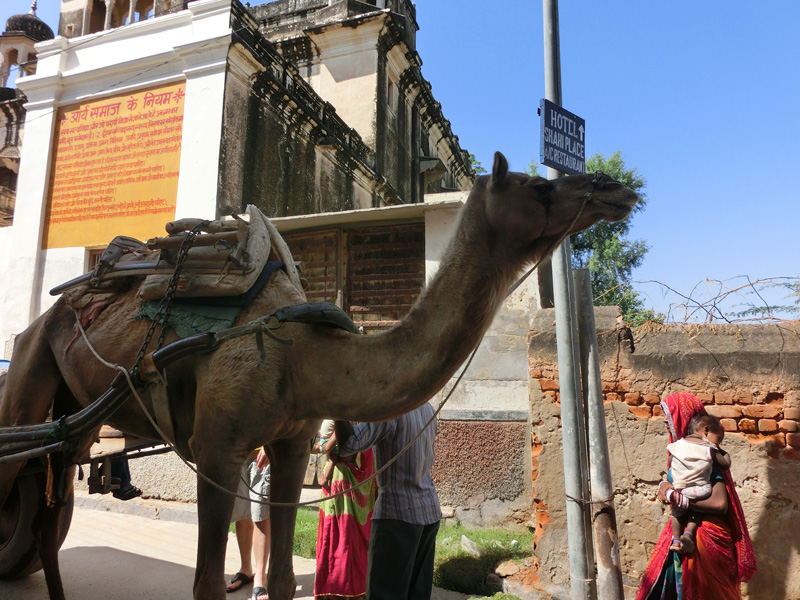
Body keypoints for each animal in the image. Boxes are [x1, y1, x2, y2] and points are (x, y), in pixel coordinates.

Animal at [0, 152, 638, 599]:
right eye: (539, 186)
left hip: (76, 414)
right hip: (32, 364)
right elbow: (206, 583)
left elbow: (283, 577)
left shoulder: (289, 442)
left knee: (53, 501)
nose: (614, 189)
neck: (301, 357)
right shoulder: (217, 448)